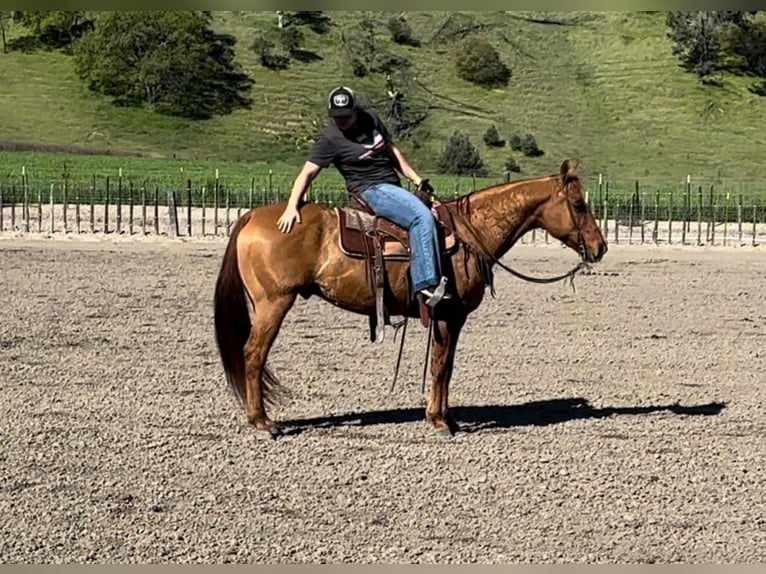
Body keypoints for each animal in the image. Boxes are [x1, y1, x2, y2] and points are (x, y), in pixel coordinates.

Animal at [213, 160, 608, 438]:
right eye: (578, 204)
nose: (600, 247)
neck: (469, 234)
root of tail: (252, 215)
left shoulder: (449, 318)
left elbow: (445, 367)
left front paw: (445, 416)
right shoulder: (449, 314)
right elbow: (441, 366)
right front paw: (439, 420)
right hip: (274, 303)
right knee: (253, 354)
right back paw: (263, 423)